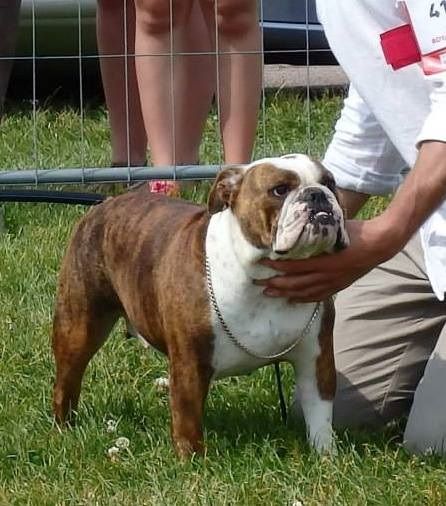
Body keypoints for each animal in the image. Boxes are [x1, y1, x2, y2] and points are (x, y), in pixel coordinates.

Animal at [52, 154, 348, 457]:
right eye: (280, 190)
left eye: (330, 183)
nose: (317, 195)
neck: (263, 276)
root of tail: (104, 205)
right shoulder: (190, 364)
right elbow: (187, 419)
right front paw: (193, 460)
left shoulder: (316, 359)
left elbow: (319, 415)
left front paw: (326, 455)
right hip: (79, 326)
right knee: (67, 380)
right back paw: (64, 427)